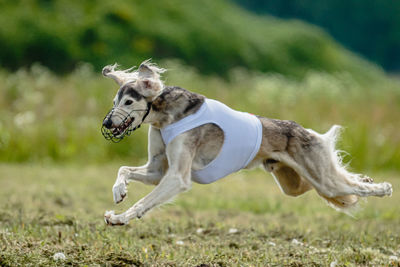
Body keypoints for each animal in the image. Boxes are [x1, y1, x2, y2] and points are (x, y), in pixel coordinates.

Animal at [101, 60, 392, 226]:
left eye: (129, 101)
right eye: (115, 101)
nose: (106, 124)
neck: (166, 115)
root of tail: (307, 131)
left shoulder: (177, 177)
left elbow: (143, 202)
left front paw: (120, 218)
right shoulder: (157, 170)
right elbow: (123, 169)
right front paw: (119, 191)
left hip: (320, 178)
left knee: (349, 186)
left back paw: (382, 188)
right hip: (295, 183)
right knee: (341, 182)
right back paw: (365, 178)